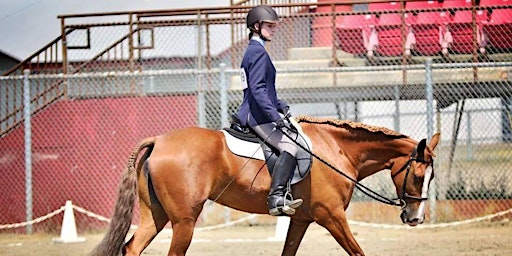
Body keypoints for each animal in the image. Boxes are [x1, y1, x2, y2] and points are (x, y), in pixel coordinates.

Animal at [91, 116, 440, 256]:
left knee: (132, 248)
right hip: (184, 222)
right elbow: (358, 252)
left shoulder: (301, 220)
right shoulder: (332, 217)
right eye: (418, 175)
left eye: (430, 177)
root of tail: (158, 141)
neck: (335, 150)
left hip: (157, 216)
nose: (415, 218)